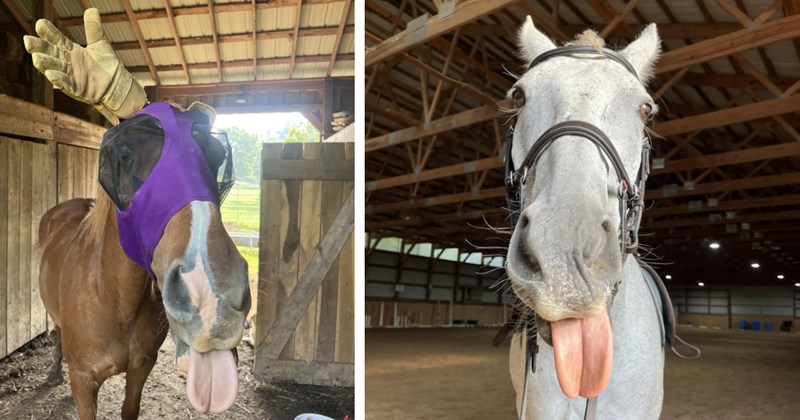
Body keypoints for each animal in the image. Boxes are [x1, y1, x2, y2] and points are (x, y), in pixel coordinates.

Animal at [38, 102, 251, 419]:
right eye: (124, 152)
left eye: (218, 156)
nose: (214, 300)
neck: (112, 298)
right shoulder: (84, 381)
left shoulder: (141, 367)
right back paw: (54, 372)